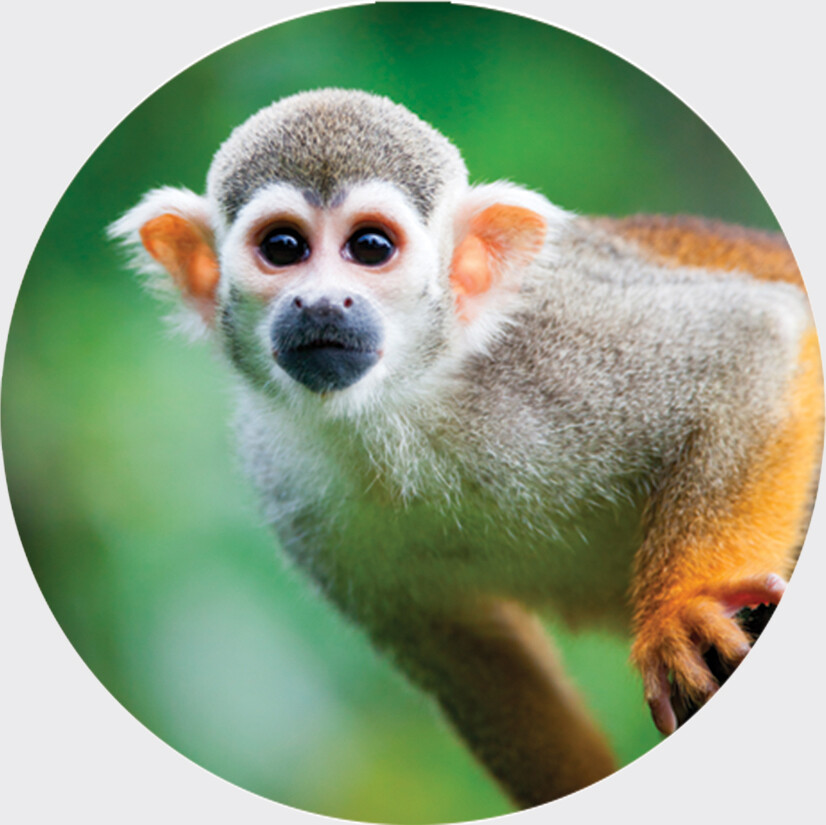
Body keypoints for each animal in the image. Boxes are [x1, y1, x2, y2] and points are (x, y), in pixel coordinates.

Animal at [110, 88, 823, 809]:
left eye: (370, 247)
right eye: (282, 248)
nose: (321, 303)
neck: (405, 403)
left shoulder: (558, 342)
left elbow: (753, 339)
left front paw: (684, 611)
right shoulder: (286, 480)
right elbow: (473, 658)